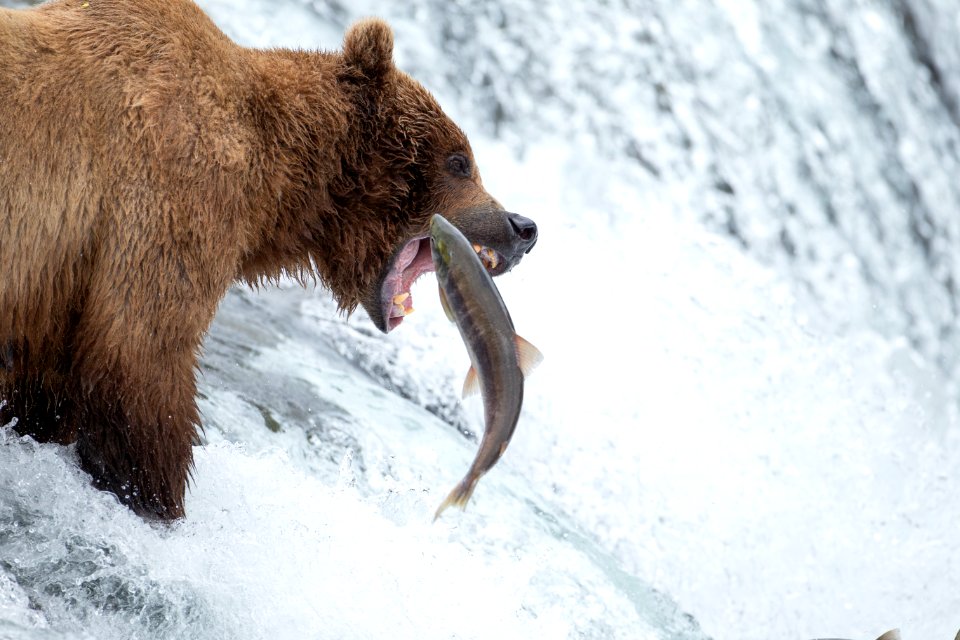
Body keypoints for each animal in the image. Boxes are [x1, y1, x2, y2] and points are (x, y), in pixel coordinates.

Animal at [0, 0, 540, 520]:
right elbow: (141, 353)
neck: (276, 180)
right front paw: (157, 499)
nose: (523, 227)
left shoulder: (55, 280)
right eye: (459, 161)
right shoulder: (172, 193)